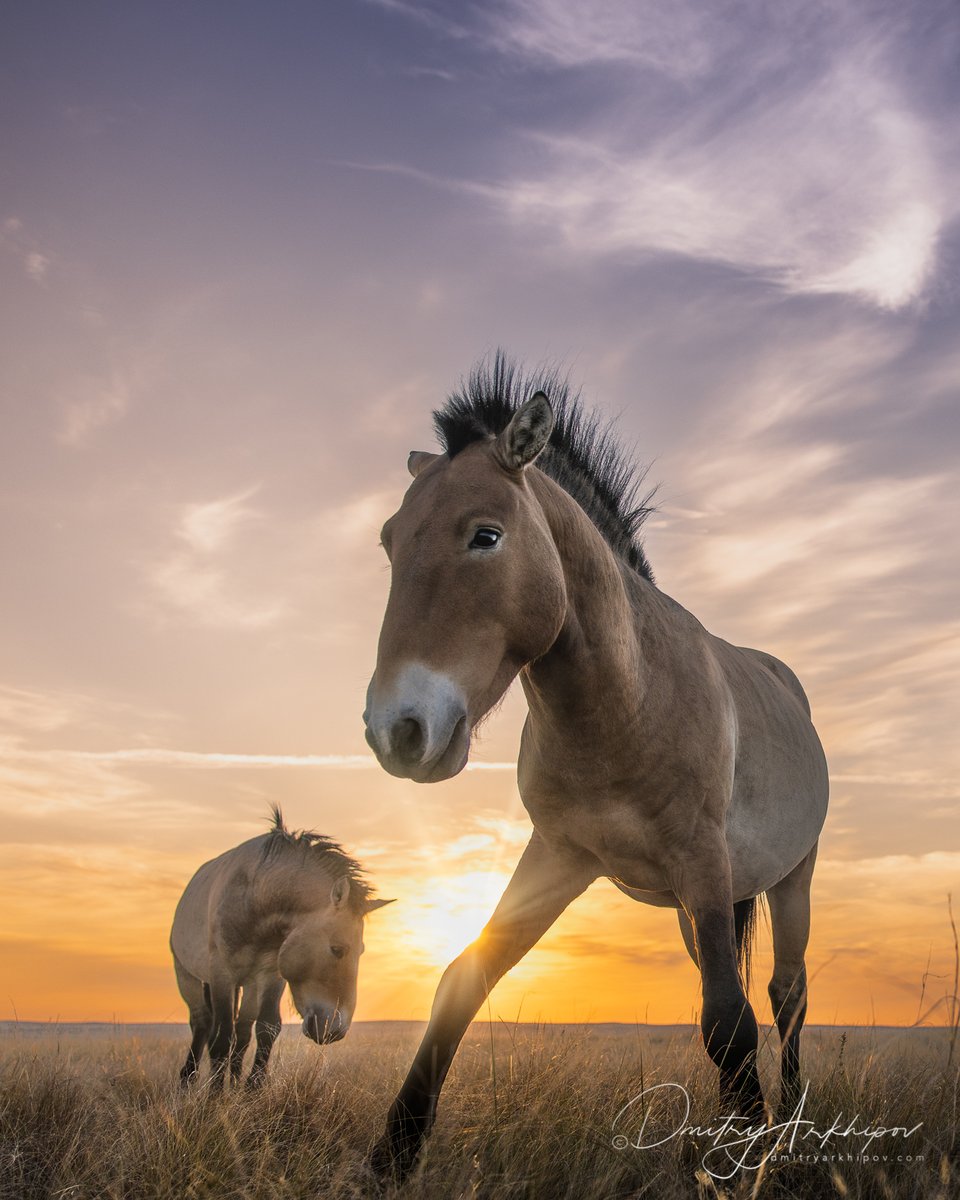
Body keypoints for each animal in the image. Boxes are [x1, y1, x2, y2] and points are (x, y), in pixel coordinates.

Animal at [169, 806, 394, 1089]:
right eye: (337, 949)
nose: (334, 1031)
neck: (256, 897)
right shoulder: (222, 974)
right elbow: (221, 1035)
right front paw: (215, 1094)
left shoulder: (271, 975)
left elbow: (266, 1028)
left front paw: (251, 1089)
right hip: (187, 976)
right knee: (202, 1023)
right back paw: (187, 1079)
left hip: (249, 983)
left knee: (242, 1030)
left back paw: (233, 1081)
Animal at [363, 355, 828, 1178]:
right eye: (391, 541)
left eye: (486, 535)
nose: (398, 731)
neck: (626, 700)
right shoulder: (560, 855)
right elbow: (461, 979)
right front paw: (394, 1152)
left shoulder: (701, 859)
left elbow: (730, 1024)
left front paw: (746, 1158)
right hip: (695, 906)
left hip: (789, 879)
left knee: (785, 994)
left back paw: (792, 1126)